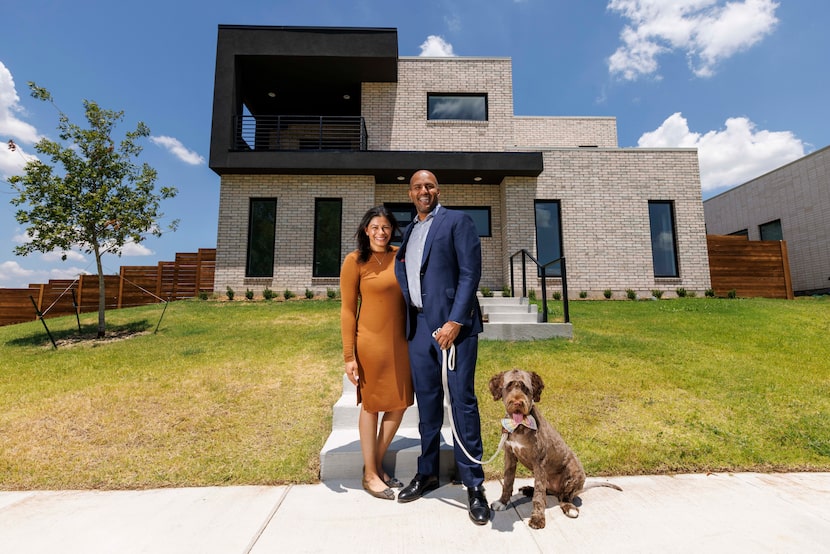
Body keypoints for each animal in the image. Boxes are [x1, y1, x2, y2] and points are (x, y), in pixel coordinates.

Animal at [488, 366, 624, 528]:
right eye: (508, 387)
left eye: (526, 388)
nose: (517, 403)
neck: (519, 425)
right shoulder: (509, 455)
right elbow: (508, 482)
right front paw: (502, 502)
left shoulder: (539, 462)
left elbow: (539, 496)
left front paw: (537, 518)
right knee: (548, 491)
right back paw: (528, 490)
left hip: (574, 473)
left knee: (563, 497)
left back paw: (569, 507)